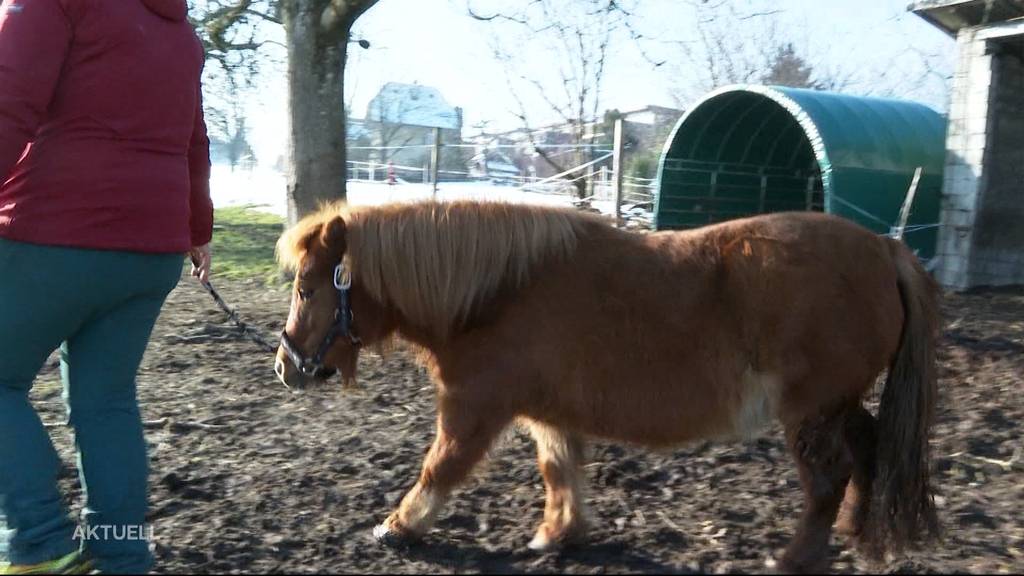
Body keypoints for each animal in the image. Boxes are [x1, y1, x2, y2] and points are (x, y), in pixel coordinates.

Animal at [270, 199, 937, 569]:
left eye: (306, 288)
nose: (285, 366)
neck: (497, 292)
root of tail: (884, 248)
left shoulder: (472, 409)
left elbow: (441, 468)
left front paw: (400, 526)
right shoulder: (547, 412)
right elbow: (559, 469)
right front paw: (559, 534)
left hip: (812, 413)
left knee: (829, 477)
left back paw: (796, 558)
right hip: (842, 405)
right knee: (869, 452)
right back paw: (856, 532)